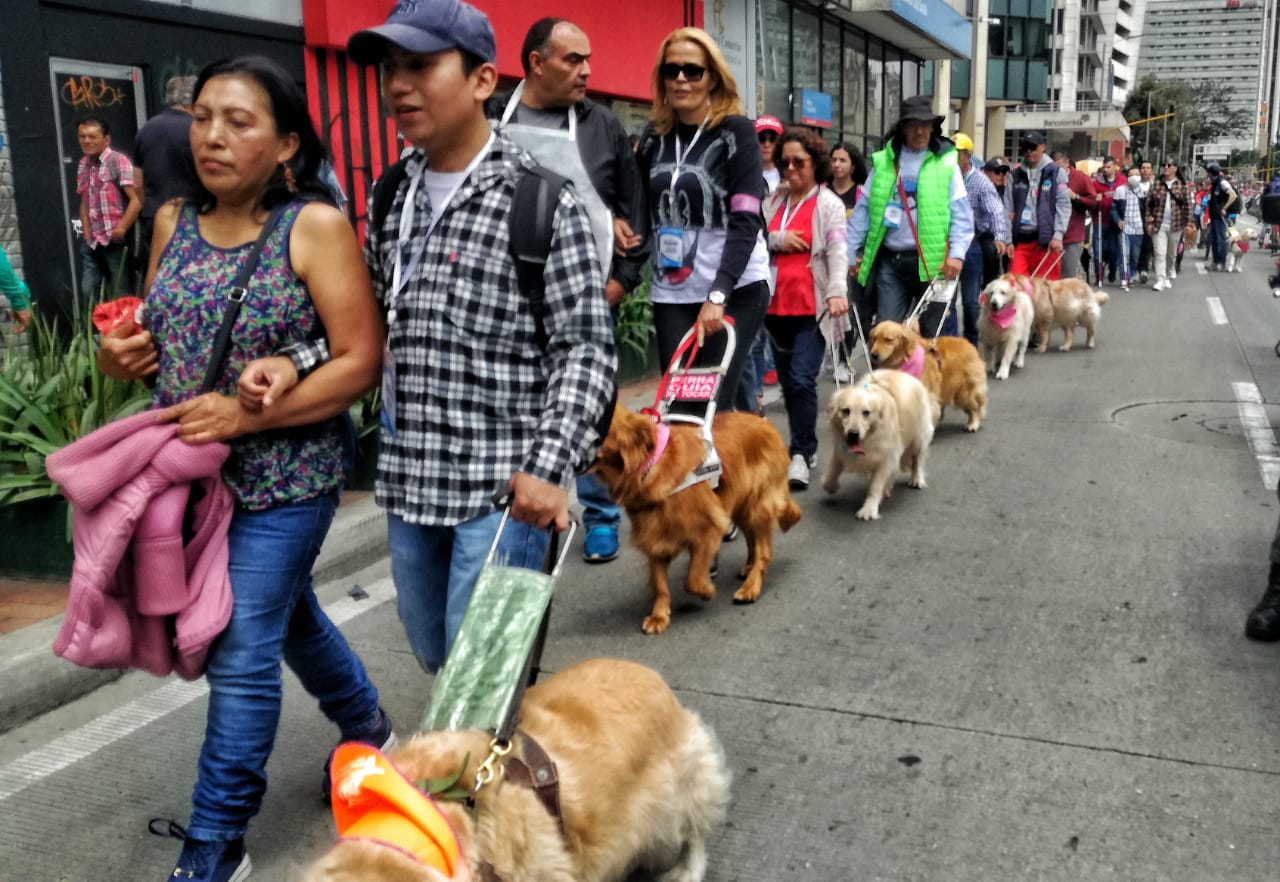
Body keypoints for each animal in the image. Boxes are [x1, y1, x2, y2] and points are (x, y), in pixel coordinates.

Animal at [588, 407, 798, 632]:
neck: (649, 465)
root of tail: (764, 422)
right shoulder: (653, 533)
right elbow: (660, 584)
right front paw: (659, 616)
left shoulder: (710, 528)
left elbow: (693, 579)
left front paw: (707, 590)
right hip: (743, 506)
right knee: (752, 541)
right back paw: (749, 567)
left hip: (758, 506)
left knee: (764, 551)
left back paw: (751, 586)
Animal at [824, 368, 936, 519]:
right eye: (846, 411)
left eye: (866, 413)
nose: (853, 434)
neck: (868, 439)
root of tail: (907, 375)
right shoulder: (840, 450)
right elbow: (831, 472)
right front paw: (831, 486)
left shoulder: (886, 459)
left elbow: (875, 486)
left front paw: (869, 509)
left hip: (919, 437)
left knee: (917, 460)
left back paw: (916, 479)